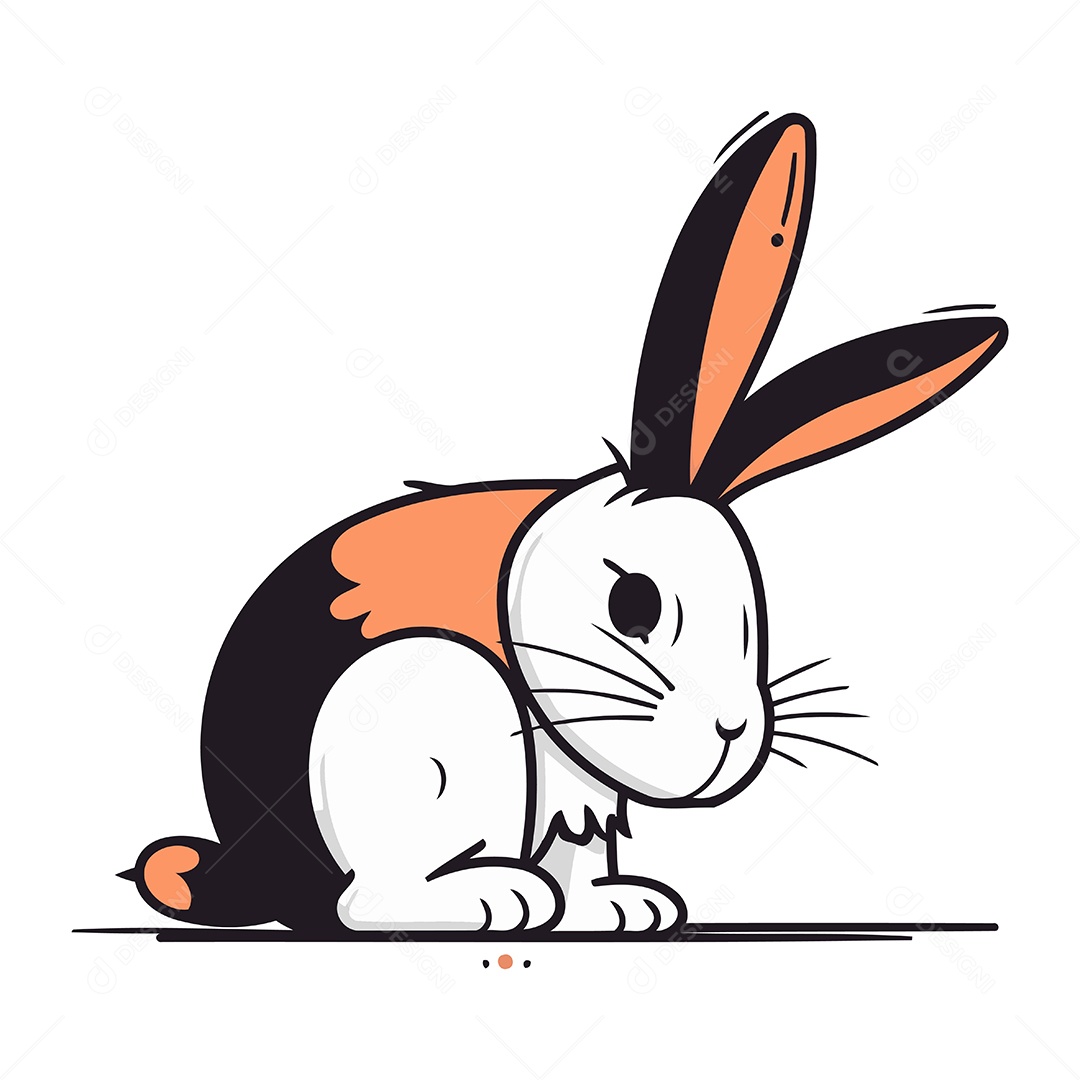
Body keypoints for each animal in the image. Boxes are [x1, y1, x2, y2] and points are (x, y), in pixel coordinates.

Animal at [121, 111, 1007, 934]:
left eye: (753, 623)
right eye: (633, 606)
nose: (729, 729)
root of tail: (251, 867)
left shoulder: (576, 795)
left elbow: (581, 847)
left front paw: (623, 908)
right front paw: (552, 902)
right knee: (360, 903)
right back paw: (491, 899)